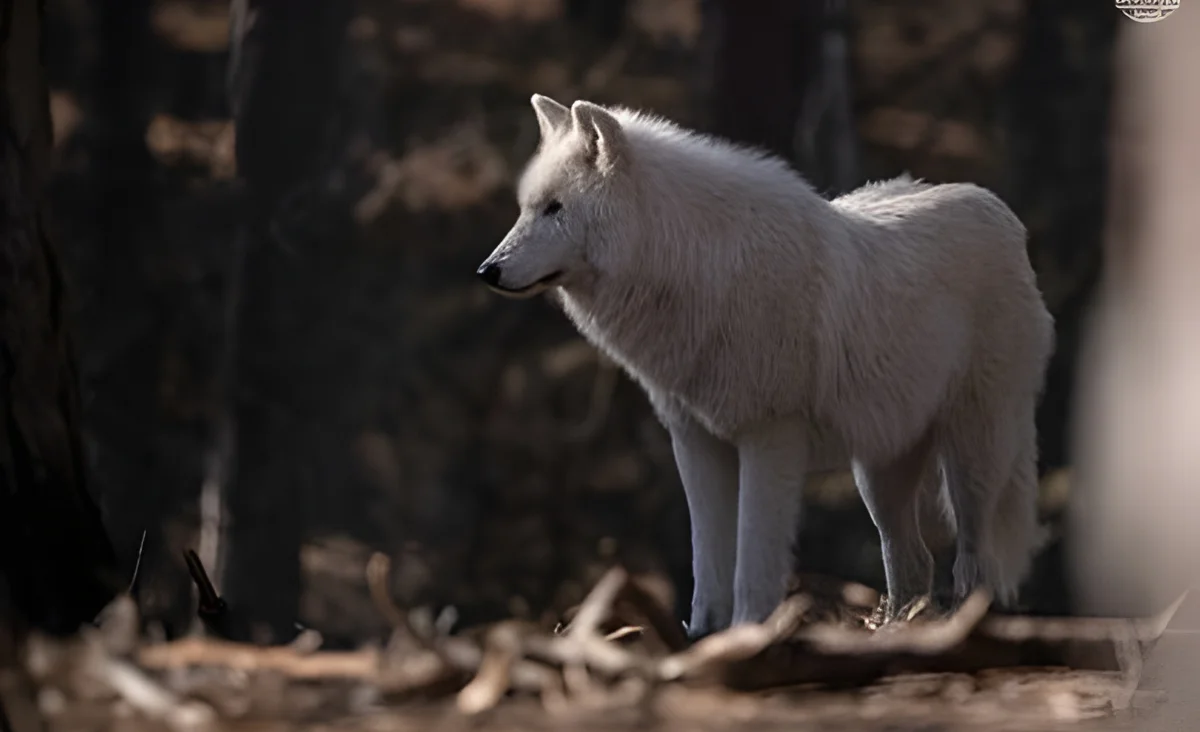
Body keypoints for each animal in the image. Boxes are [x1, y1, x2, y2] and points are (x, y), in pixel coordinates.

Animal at [476, 94, 1055, 638]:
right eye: (526, 208)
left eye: (556, 209)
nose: (487, 271)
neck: (694, 269)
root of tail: (1004, 217)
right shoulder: (696, 442)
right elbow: (706, 562)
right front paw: (702, 637)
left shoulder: (769, 439)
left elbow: (752, 564)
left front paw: (748, 635)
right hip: (878, 474)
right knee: (913, 562)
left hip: (973, 459)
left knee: (974, 563)